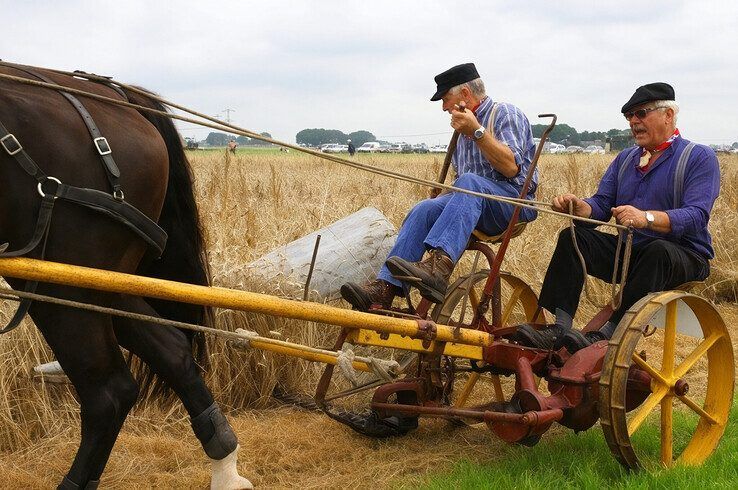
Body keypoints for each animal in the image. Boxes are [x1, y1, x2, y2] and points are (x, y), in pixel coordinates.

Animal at [0, 63, 253, 488]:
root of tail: (122, 100)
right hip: (106, 280)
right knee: (173, 350)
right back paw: (225, 465)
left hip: (64, 280)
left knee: (109, 392)